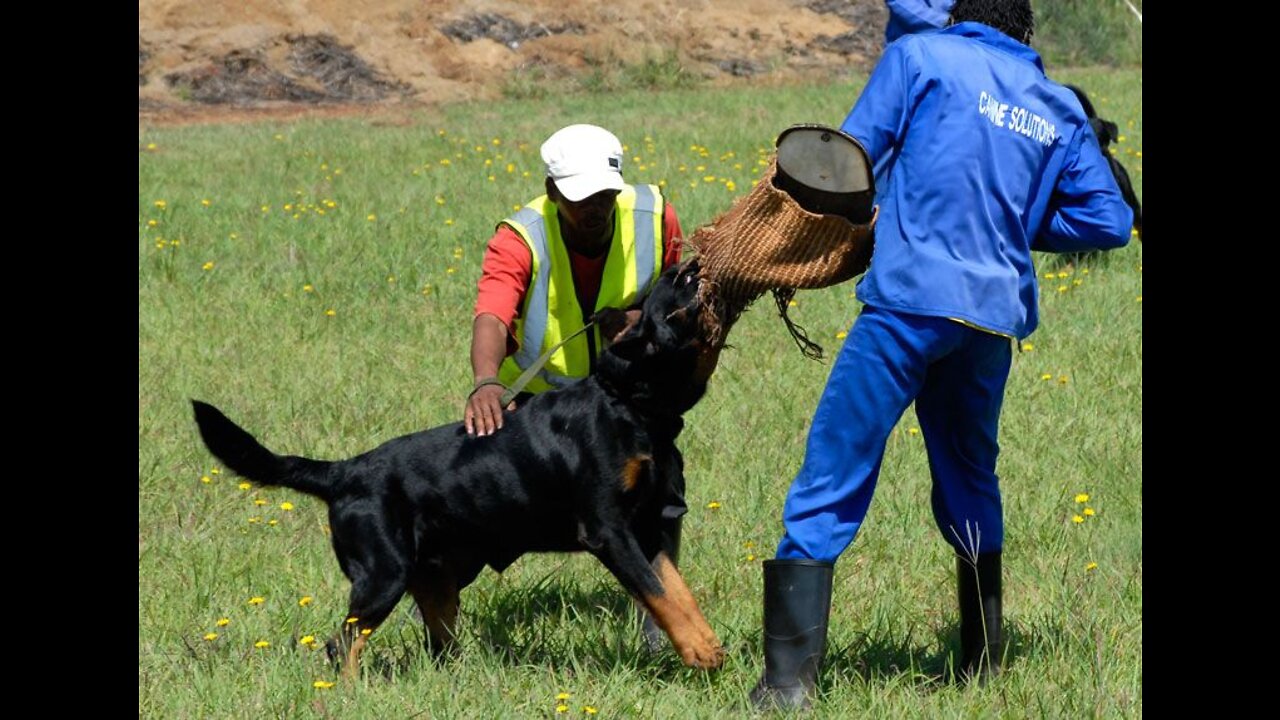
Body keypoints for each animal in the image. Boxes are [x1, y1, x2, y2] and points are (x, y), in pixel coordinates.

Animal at [194, 260, 727, 676]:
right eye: (678, 288)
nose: (692, 263)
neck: (629, 404)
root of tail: (343, 472)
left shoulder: (648, 528)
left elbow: (676, 592)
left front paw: (707, 643)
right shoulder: (609, 531)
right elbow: (658, 592)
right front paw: (698, 651)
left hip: (436, 580)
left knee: (436, 645)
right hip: (383, 575)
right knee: (341, 645)